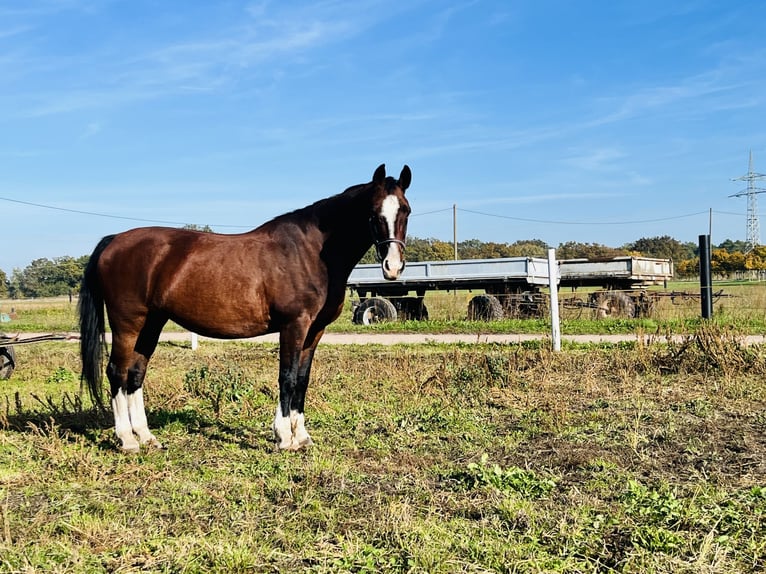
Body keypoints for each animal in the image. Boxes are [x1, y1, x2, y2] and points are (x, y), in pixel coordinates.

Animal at [78, 164, 412, 452]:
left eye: (405, 210)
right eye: (373, 213)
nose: (392, 267)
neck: (311, 252)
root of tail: (113, 241)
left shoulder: (314, 331)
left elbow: (302, 380)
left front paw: (302, 436)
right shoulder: (294, 325)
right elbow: (287, 376)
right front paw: (283, 437)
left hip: (151, 324)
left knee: (135, 374)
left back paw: (147, 437)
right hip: (127, 324)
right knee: (116, 372)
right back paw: (127, 440)